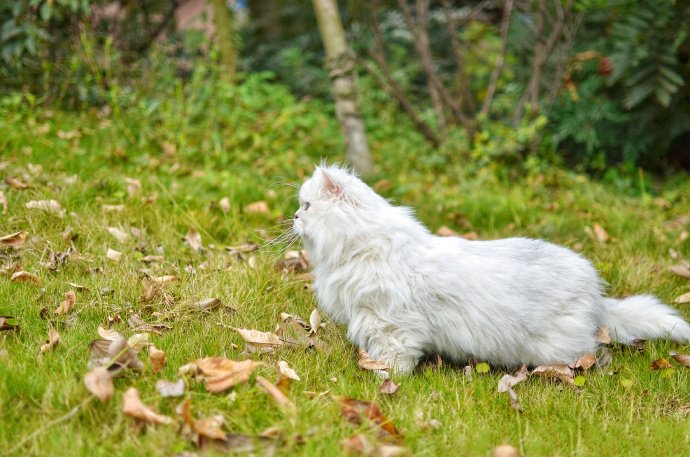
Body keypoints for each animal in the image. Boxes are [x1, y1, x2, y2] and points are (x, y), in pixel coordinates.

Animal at [292, 166, 688, 372]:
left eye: (307, 206)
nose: (294, 217)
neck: (360, 245)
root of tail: (597, 294)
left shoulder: (390, 326)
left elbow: (393, 359)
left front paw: (383, 379)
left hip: (562, 347)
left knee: (598, 355)